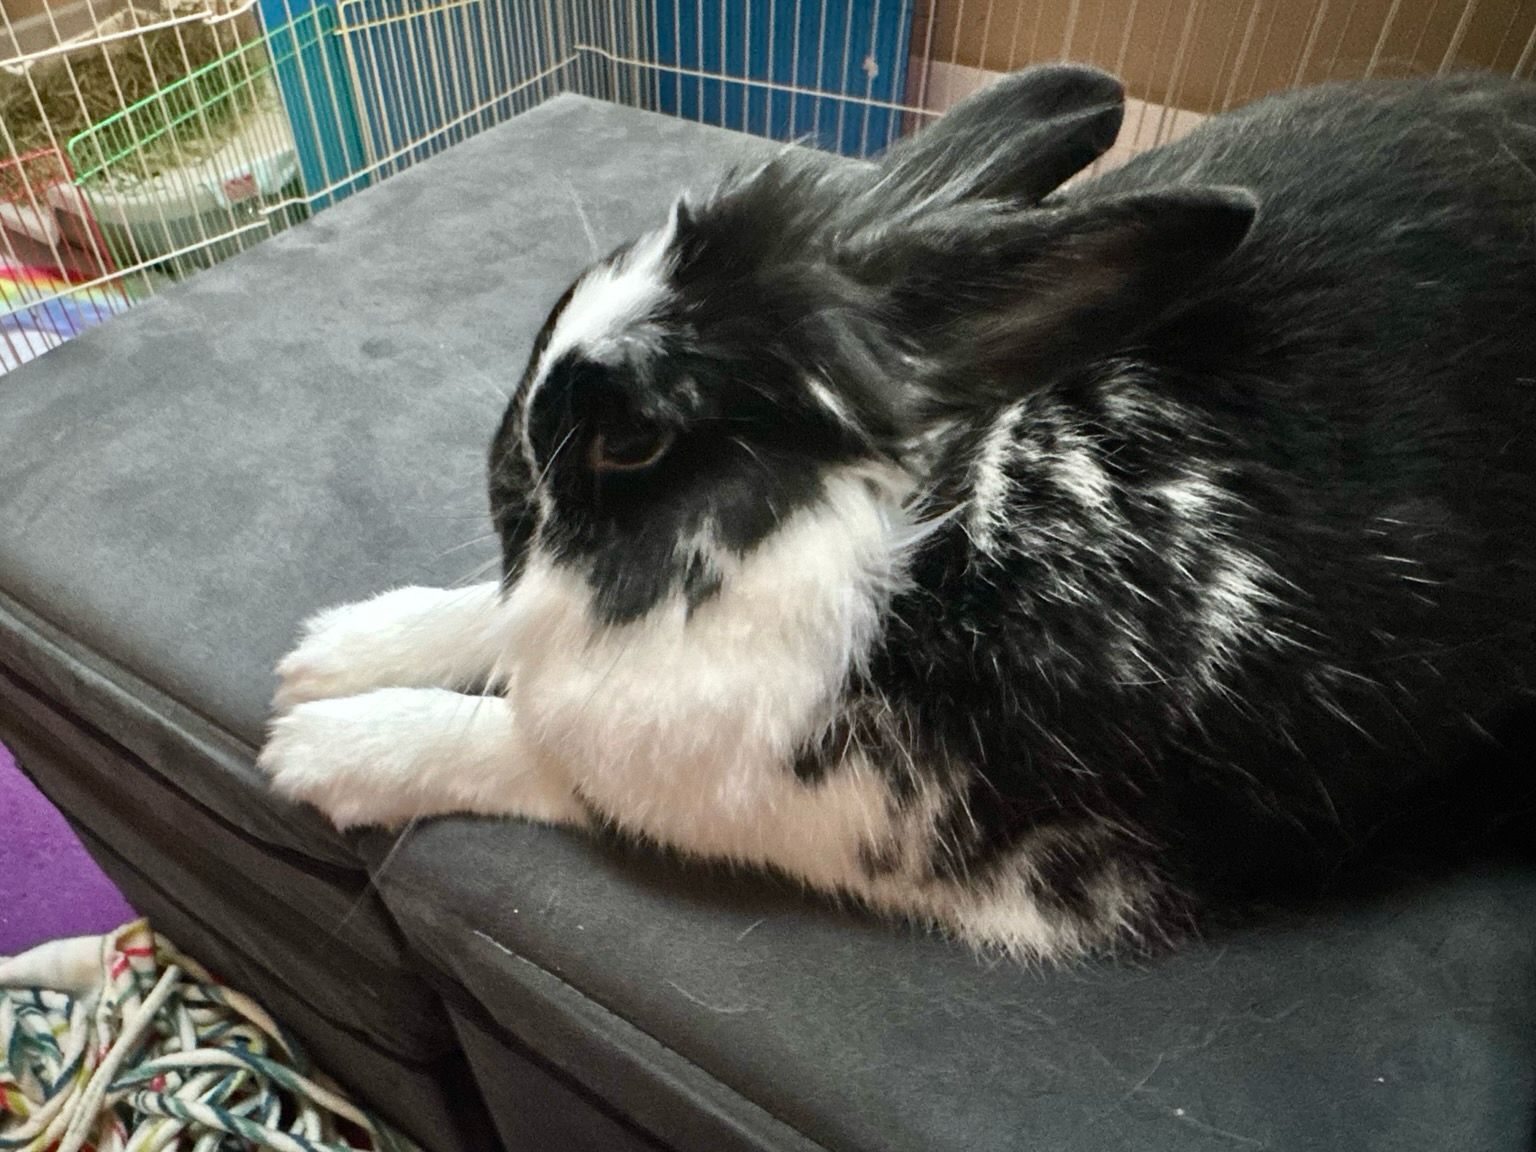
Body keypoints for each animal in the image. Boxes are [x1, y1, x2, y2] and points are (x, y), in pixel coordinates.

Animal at [261, 64, 1536, 960]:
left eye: (629, 440)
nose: (502, 479)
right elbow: (489, 618)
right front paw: (333, 652)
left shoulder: (718, 797)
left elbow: (510, 745)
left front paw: (323, 747)